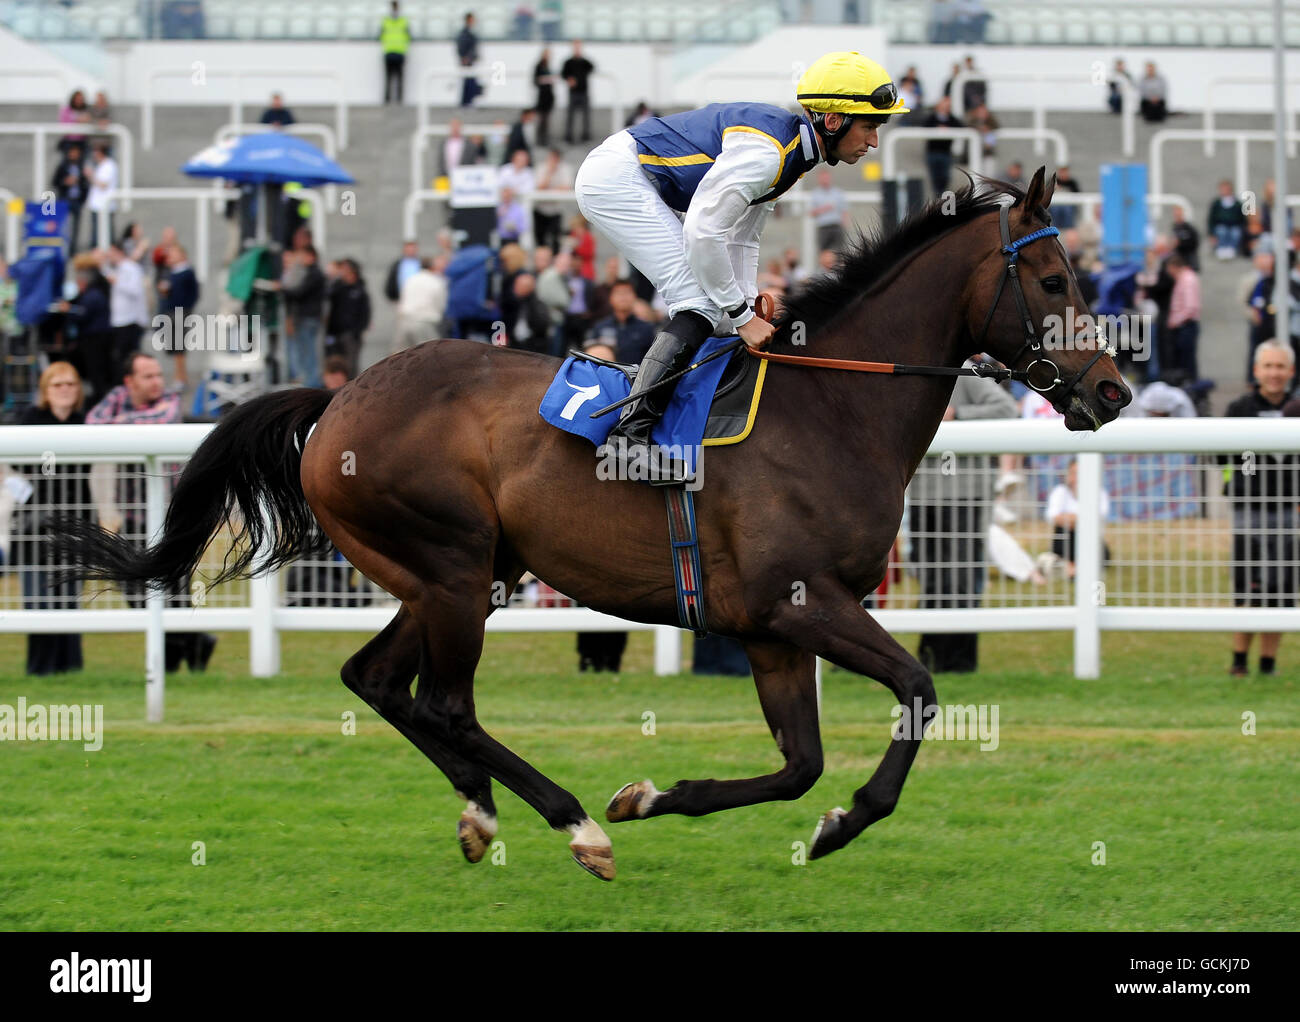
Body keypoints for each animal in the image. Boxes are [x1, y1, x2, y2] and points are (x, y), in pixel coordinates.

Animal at [58, 167, 1128, 873]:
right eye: (1053, 282)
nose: (1112, 390)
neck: (830, 407)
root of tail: (338, 399)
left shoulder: (770, 630)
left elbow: (797, 764)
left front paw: (666, 795)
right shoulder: (799, 602)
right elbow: (915, 688)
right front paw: (843, 820)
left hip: (454, 573)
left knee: (378, 681)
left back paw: (483, 812)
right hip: (452, 567)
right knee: (446, 703)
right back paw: (570, 821)